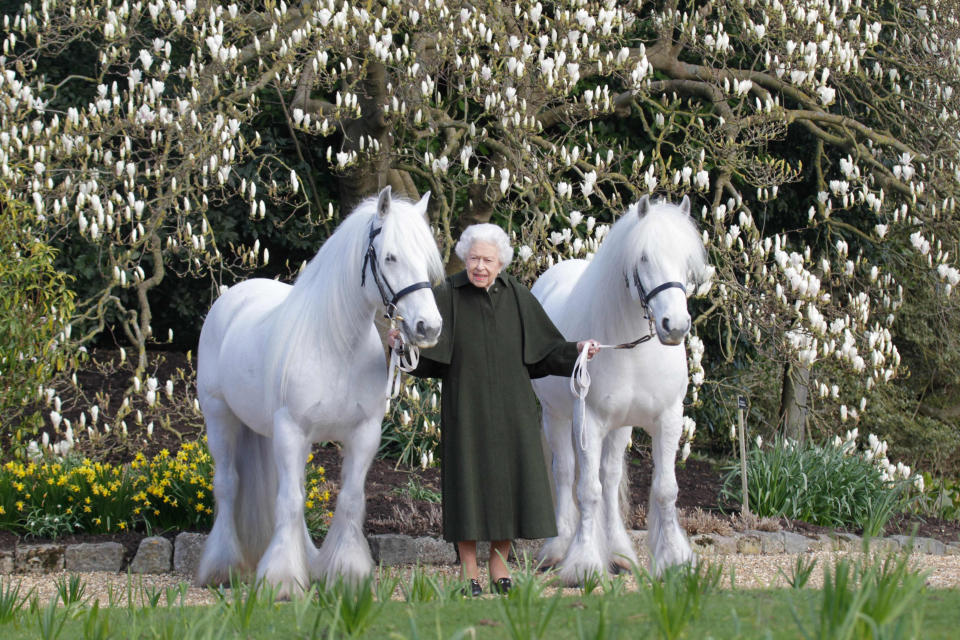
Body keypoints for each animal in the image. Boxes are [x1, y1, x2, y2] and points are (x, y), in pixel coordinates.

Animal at [199, 188, 446, 596]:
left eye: (427, 260)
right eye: (390, 256)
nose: (428, 327)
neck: (335, 346)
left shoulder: (363, 434)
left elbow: (348, 500)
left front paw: (345, 573)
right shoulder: (291, 430)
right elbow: (288, 501)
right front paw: (282, 580)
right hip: (220, 418)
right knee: (228, 485)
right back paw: (223, 567)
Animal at [528, 195, 708, 584]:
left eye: (686, 260)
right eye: (643, 258)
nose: (675, 326)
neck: (632, 348)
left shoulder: (668, 419)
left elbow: (664, 489)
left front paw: (674, 560)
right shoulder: (589, 421)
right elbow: (587, 491)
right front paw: (582, 564)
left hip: (620, 426)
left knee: (609, 479)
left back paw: (619, 553)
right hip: (556, 417)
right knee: (565, 473)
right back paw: (558, 548)